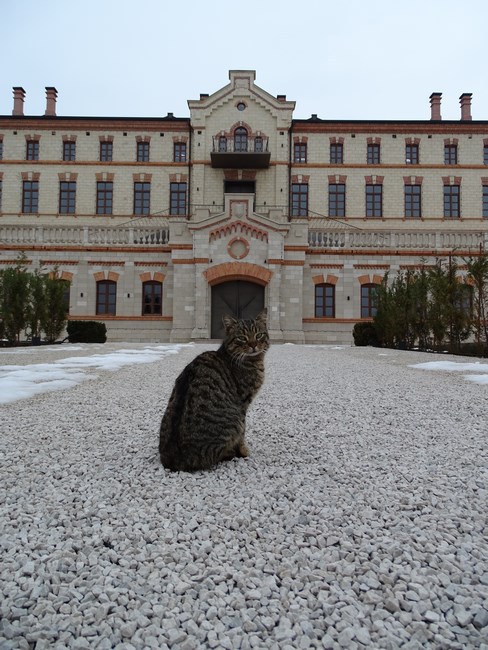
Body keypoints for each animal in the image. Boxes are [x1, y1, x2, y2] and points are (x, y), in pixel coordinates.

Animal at [159, 308, 266, 470]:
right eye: (241, 338)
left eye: (259, 335)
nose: (253, 345)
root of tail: (174, 460)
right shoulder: (243, 403)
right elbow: (242, 433)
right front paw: (243, 450)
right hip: (234, 419)